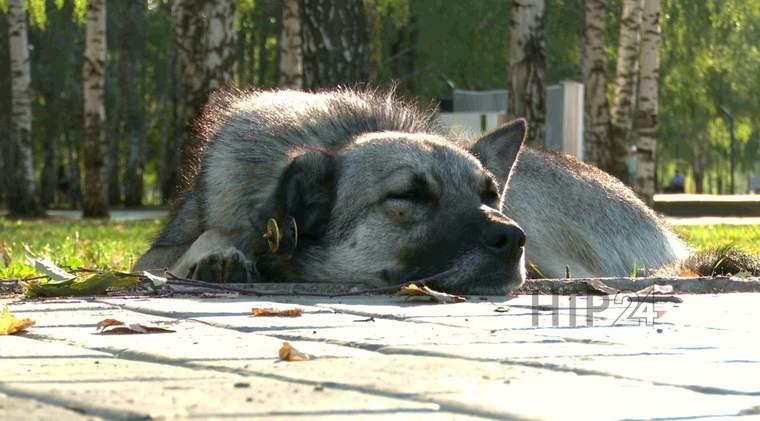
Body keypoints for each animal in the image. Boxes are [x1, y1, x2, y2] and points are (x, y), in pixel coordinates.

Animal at [135, 87, 688, 294]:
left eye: (489, 195)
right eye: (408, 197)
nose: (513, 238)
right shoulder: (160, 251)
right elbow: (198, 240)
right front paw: (218, 253)